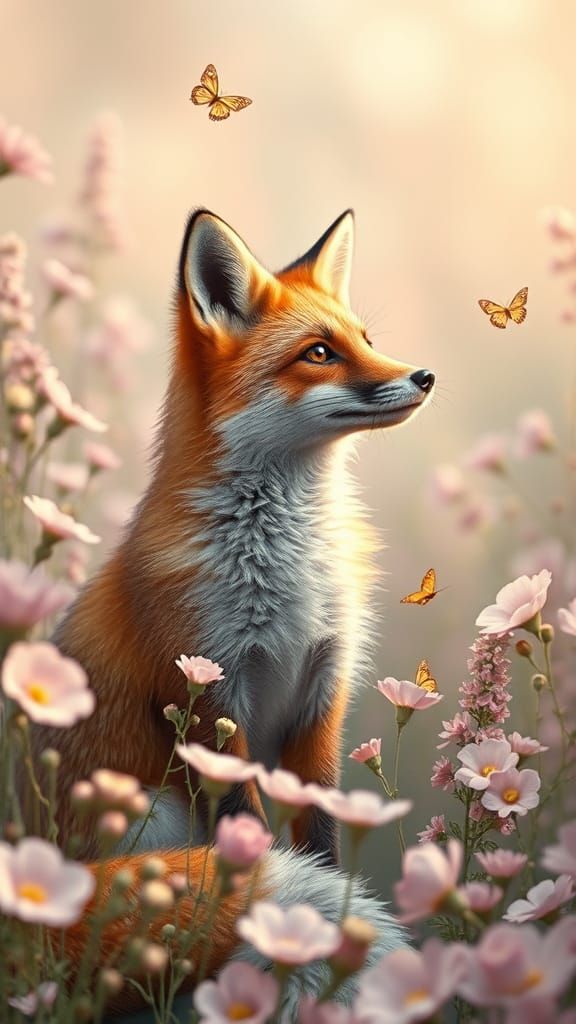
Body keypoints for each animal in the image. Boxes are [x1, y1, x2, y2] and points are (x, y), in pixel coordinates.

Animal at [30, 208, 435, 1017]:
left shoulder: (321, 691)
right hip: (147, 812)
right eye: (319, 353)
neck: (283, 565)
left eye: (364, 339)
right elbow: (250, 832)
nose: (424, 376)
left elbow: (320, 836)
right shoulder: (212, 693)